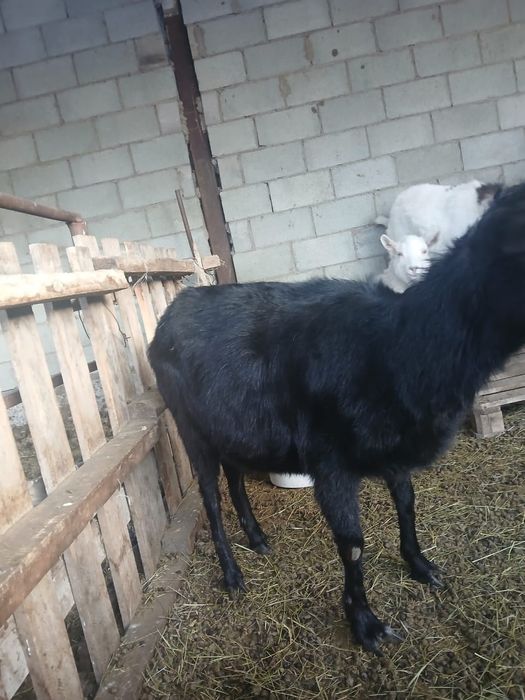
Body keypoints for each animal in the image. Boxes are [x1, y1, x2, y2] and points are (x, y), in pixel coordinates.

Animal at [148, 183, 525, 653]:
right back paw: (232, 574)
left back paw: (257, 538)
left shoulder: (392, 449)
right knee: (211, 500)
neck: (398, 344)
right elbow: (352, 544)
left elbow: (407, 505)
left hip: (230, 428)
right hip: (190, 430)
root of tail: (173, 309)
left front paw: (420, 565)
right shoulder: (330, 463)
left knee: (235, 479)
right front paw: (365, 622)